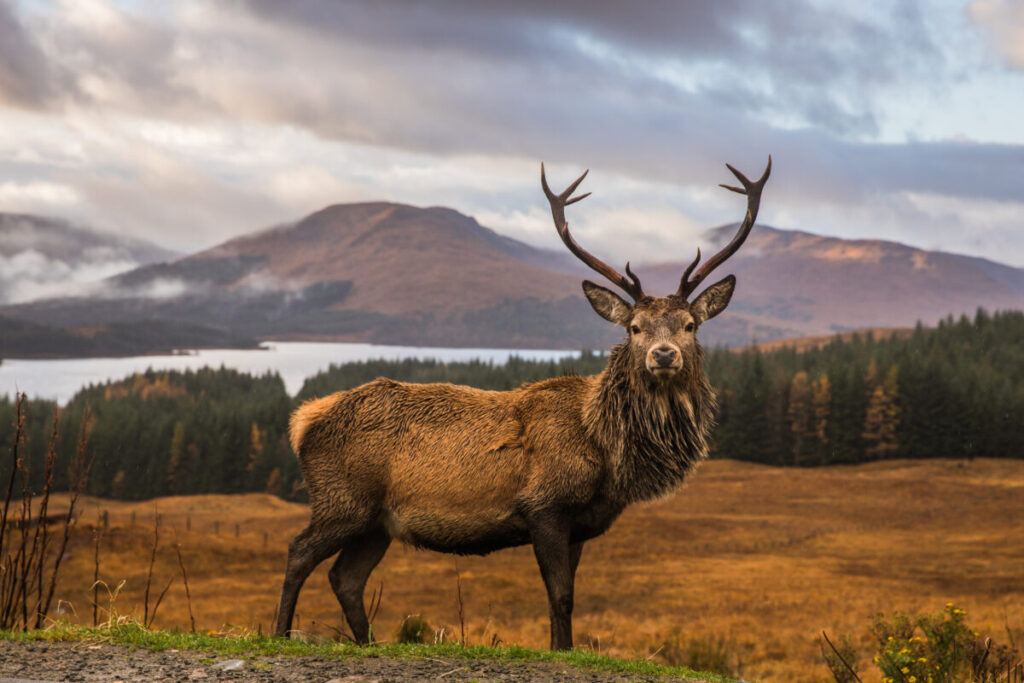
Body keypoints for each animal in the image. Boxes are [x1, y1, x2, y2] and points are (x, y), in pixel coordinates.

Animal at [273, 157, 771, 650]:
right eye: (635, 327)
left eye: (690, 325)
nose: (663, 355)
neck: (605, 449)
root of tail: (302, 420)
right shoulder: (543, 504)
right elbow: (561, 595)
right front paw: (563, 649)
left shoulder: (580, 523)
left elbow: (564, 597)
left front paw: (561, 647)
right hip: (343, 498)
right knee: (299, 552)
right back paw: (281, 633)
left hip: (377, 522)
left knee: (346, 578)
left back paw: (367, 643)